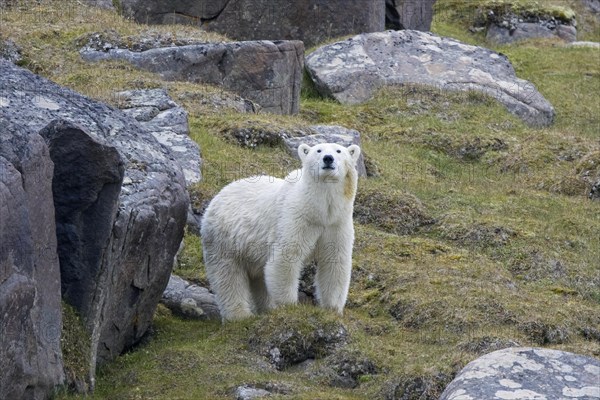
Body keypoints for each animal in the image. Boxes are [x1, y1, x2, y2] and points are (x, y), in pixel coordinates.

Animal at [202, 142, 360, 320]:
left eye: (339, 151)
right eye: (318, 150)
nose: (328, 158)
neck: (319, 210)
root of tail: (215, 199)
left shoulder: (336, 223)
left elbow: (334, 260)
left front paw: (332, 309)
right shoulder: (296, 217)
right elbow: (286, 257)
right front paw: (289, 305)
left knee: (258, 278)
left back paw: (267, 308)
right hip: (223, 239)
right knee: (227, 277)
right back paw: (240, 316)